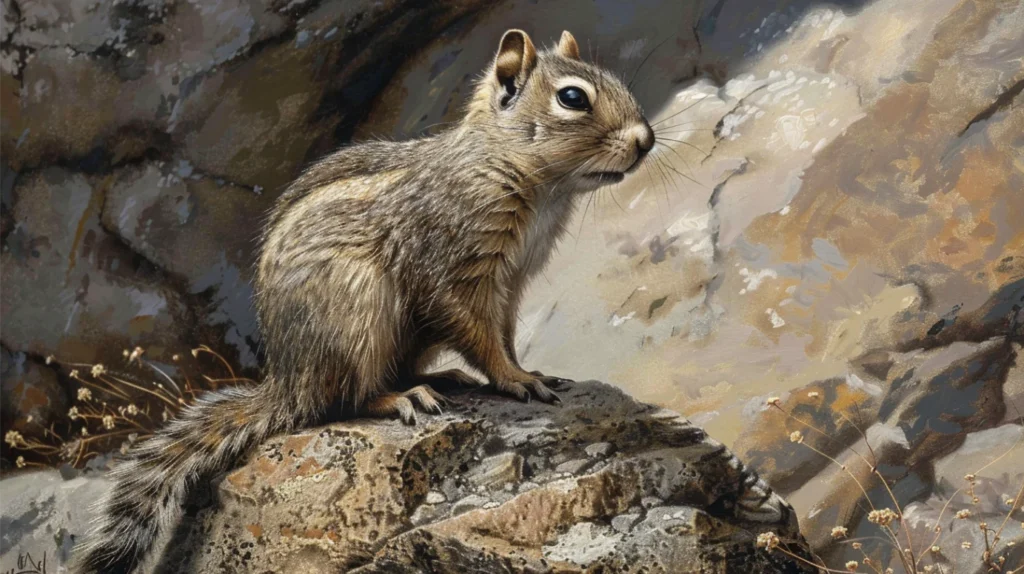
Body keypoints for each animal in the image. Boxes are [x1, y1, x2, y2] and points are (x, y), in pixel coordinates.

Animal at [75, 29, 654, 573]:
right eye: (573, 98)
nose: (646, 140)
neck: (515, 171)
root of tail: (287, 382)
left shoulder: (509, 284)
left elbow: (505, 335)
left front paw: (526, 370)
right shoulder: (453, 269)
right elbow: (478, 334)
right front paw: (515, 380)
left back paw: (440, 378)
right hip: (358, 317)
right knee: (342, 401)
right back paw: (400, 398)